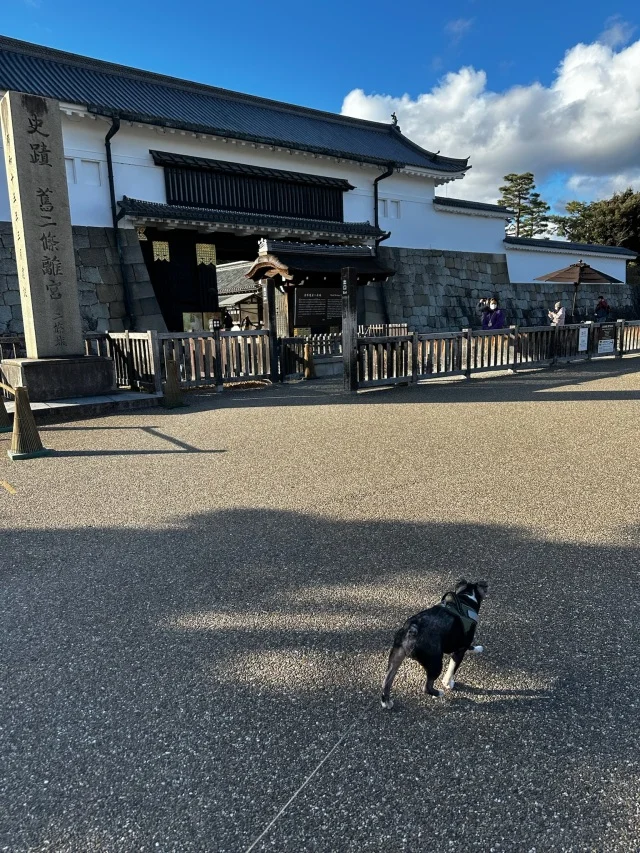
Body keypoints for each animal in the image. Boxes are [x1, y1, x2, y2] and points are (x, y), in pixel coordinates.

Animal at [380, 576, 490, 708]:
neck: (466, 599)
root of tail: (412, 629)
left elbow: (469, 648)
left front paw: (477, 649)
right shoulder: (460, 650)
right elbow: (452, 668)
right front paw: (448, 683)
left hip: (396, 656)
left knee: (387, 681)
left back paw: (386, 701)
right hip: (435, 662)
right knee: (427, 687)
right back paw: (439, 693)